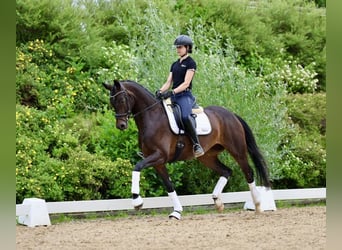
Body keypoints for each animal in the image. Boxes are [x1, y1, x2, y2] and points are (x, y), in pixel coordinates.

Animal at [103, 79, 272, 219]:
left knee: (248, 172)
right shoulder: (158, 162)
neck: (152, 117)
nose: (121, 125)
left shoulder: (159, 156)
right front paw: (177, 211)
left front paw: (137, 201)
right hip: (207, 156)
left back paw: (257, 205)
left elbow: (136, 167)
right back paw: (217, 202)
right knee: (227, 171)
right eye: (112, 102)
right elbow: (169, 185)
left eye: (122, 99)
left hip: (237, 150)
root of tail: (231, 114)